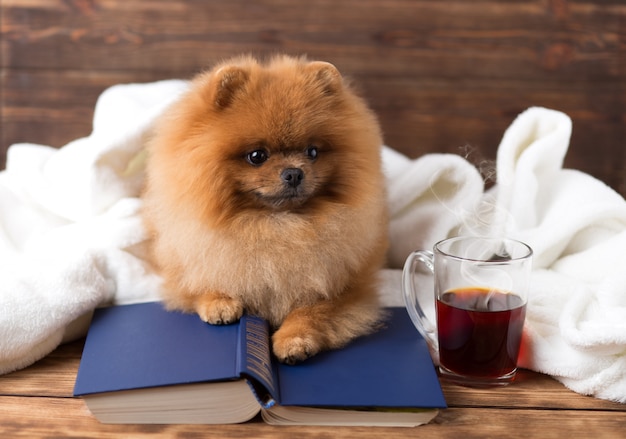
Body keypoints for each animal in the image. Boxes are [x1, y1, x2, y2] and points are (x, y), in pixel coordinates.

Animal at [143, 55, 386, 364]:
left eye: (313, 152)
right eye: (257, 156)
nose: (293, 173)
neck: (274, 226)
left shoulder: (346, 287)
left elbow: (312, 309)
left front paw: (294, 339)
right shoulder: (186, 261)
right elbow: (200, 282)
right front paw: (219, 302)